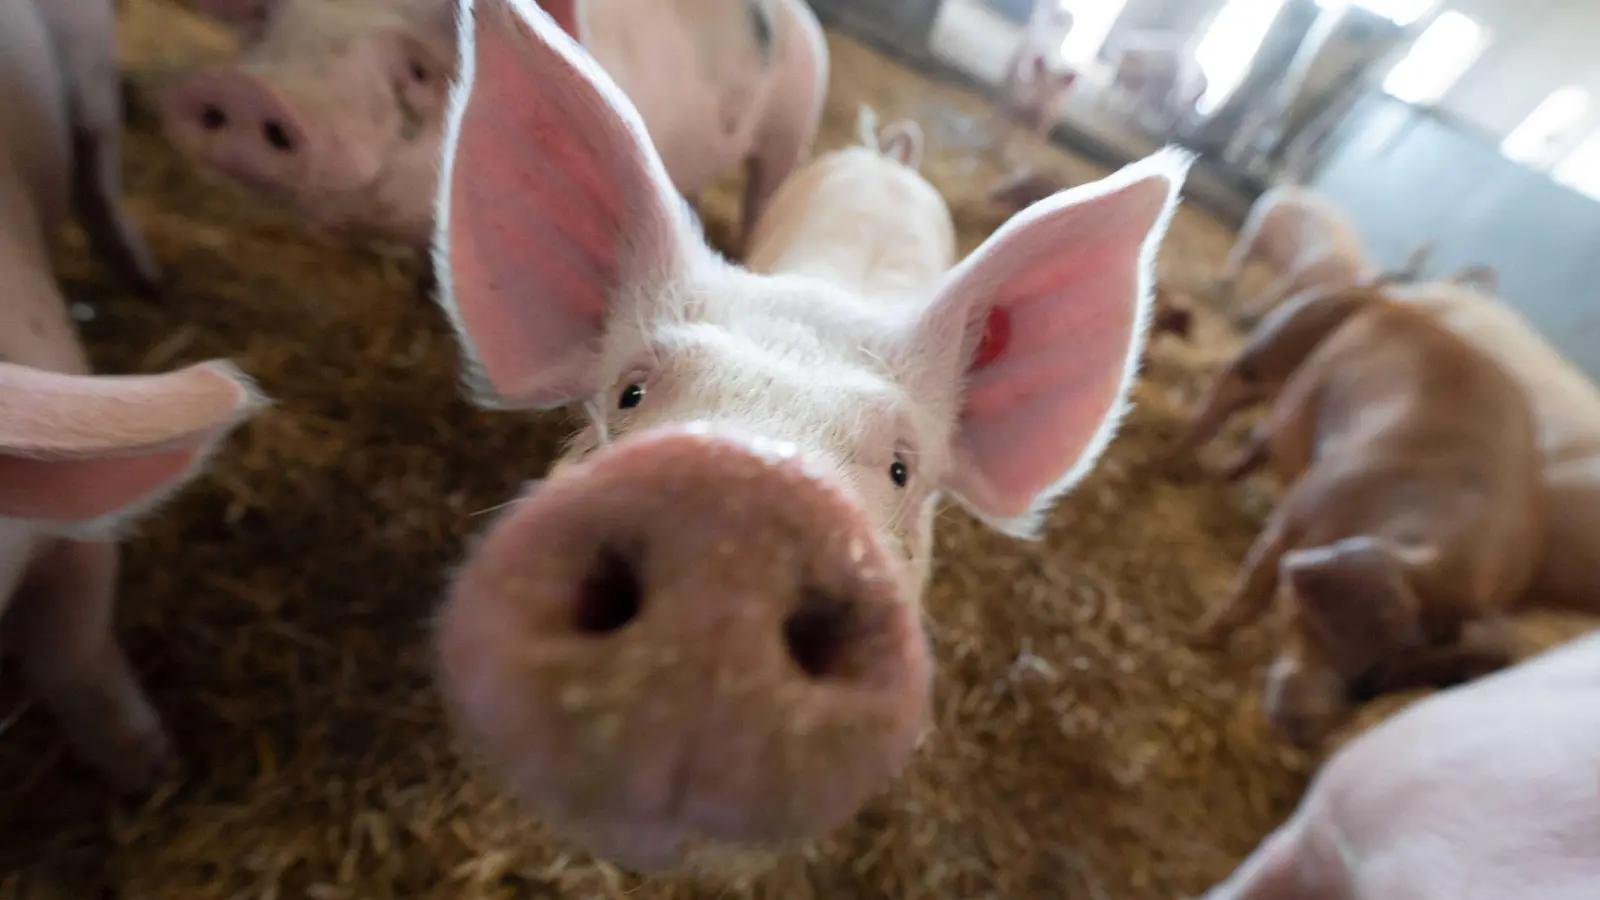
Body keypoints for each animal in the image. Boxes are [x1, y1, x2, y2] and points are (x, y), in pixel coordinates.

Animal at [1190, 285, 1548, 743]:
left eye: (1387, 682)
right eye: (1343, 627)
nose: (1307, 726)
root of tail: (1388, 298)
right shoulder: (1296, 517)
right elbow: (1249, 592)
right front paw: (1199, 640)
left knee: (1261, 437)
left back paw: (1219, 475)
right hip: (1273, 345)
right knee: (1226, 394)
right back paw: (1172, 462)